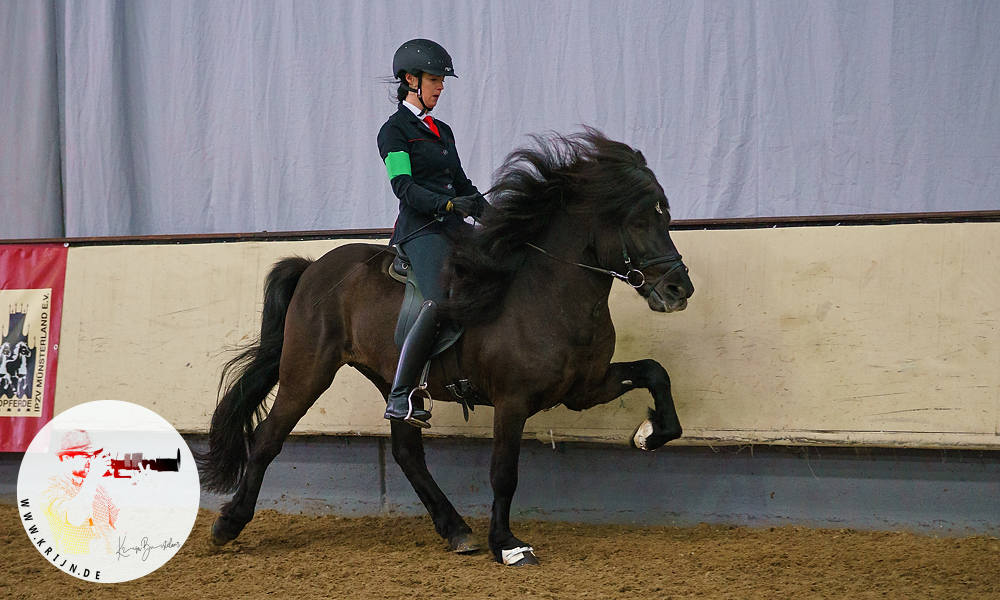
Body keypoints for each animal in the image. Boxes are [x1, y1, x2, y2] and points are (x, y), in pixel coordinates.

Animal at [195, 129, 696, 564]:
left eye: (667, 216)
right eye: (638, 220)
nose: (680, 290)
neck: (548, 292)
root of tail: (314, 265)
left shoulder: (583, 389)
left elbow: (655, 371)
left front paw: (650, 434)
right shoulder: (513, 401)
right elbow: (503, 473)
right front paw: (508, 545)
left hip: (392, 381)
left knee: (406, 453)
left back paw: (456, 530)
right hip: (307, 372)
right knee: (268, 437)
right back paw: (227, 525)